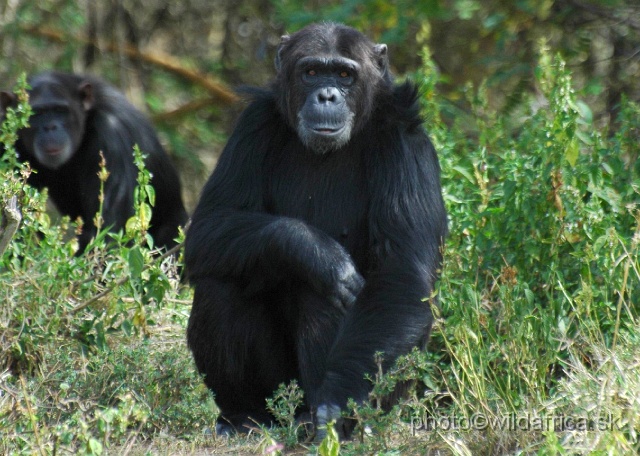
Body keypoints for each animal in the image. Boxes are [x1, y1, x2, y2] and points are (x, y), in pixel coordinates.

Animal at [182, 22, 448, 438]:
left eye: (343, 74)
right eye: (311, 72)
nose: (326, 94)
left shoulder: (405, 146)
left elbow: (401, 272)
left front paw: (337, 405)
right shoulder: (253, 126)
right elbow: (210, 224)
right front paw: (314, 250)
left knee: (328, 297)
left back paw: (317, 417)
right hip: (278, 393)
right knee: (221, 281)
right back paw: (243, 416)